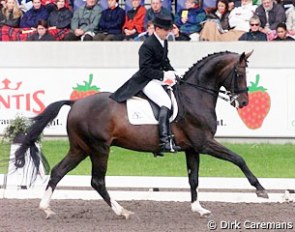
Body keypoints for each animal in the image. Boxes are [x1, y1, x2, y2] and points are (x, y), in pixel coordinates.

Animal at [15, 50, 270, 219]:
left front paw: (199, 208)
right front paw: (260, 190)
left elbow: (194, 178)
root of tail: (76, 103)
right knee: (97, 180)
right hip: (99, 148)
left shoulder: (192, 148)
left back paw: (47, 209)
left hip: (80, 148)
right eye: (239, 73)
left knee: (59, 171)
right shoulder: (205, 143)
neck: (195, 96)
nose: (244, 102)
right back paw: (123, 211)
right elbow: (238, 159)